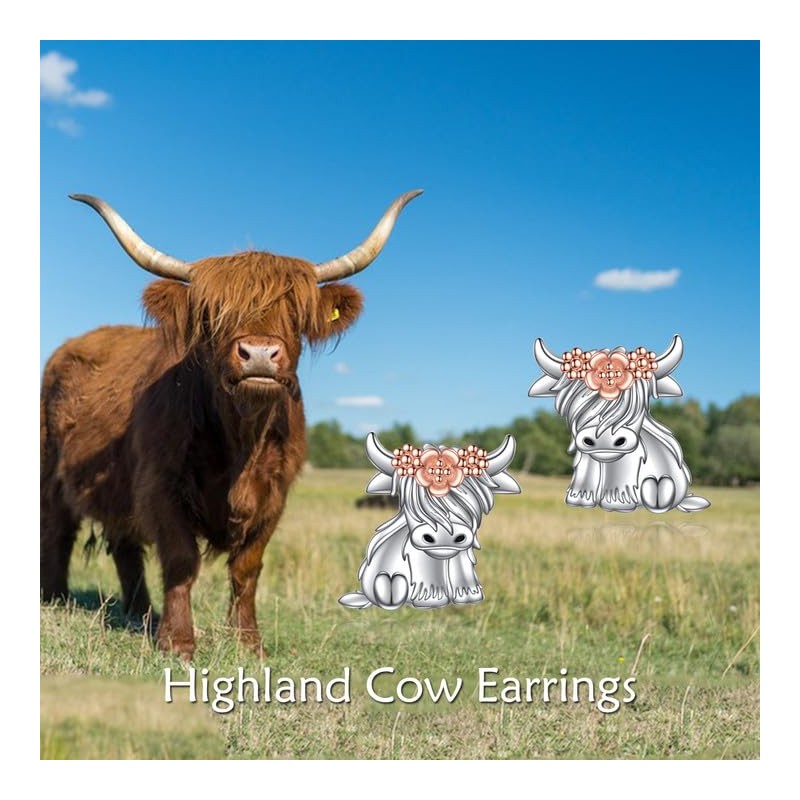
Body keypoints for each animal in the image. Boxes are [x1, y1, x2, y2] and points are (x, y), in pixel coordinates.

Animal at [40, 190, 422, 658]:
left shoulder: (275, 494)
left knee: (124, 546)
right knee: (57, 529)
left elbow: (247, 567)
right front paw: (179, 642)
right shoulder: (161, 485)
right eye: (213, 313)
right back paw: (56, 598)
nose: (258, 353)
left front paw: (248, 642)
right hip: (51, 471)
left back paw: (141, 612)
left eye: (294, 311)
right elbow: (181, 560)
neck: (242, 437)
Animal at [528, 335, 709, 513]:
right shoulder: (586, 456)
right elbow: (585, 472)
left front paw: (617, 504)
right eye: (577, 406)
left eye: (640, 406)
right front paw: (579, 500)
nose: (603, 439)